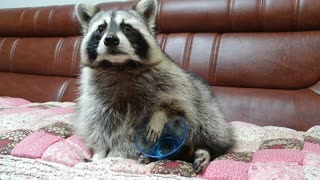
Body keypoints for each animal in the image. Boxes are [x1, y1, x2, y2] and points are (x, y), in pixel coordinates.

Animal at [74, 0, 234, 174]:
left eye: (127, 28)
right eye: (101, 28)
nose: (110, 39)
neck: (119, 65)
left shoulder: (170, 75)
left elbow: (178, 102)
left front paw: (160, 115)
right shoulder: (94, 94)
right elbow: (96, 123)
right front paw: (99, 151)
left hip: (207, 106)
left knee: (207, 122)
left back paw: (205, 149)